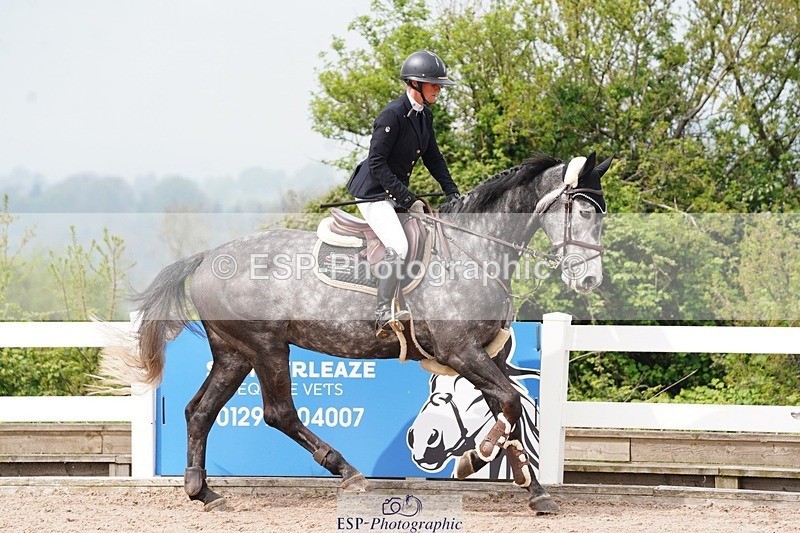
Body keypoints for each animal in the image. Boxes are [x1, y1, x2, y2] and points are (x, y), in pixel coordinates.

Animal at [128, 151, 611, 513]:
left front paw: (536, 492)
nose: (590, 280)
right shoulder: (461, 352)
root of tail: (207, 256)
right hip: (267, 347)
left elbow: (508, 412)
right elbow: (509, 404)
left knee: (200, 411)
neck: (476, 248)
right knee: (278, 412)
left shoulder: (485, 356)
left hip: (234, 352)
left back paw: (203, 491)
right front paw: (476, 460)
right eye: (585, 211)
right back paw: (348, 472)